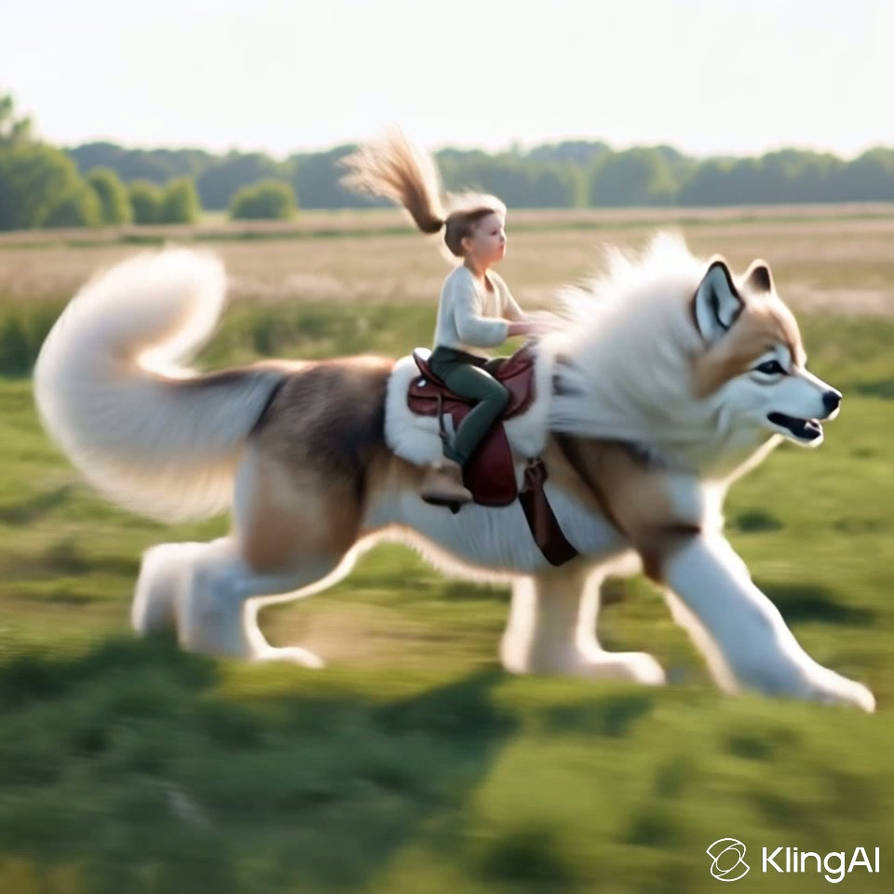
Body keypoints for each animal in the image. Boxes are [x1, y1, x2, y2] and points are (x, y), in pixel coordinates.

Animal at [33, 235, 875, 711]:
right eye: (770, 367)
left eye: (800, 358)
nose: (832, 399)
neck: (648, 392)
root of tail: (288, 378)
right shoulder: (679, 540)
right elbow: (757, 621)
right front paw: (823, 693)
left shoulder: (566, 564)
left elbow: (551, 639)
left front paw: (584, 673)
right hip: (308, 546)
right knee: (213, 575)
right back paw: (247, 660)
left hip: (292, 540)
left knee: (180, 560)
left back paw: (160, 624)